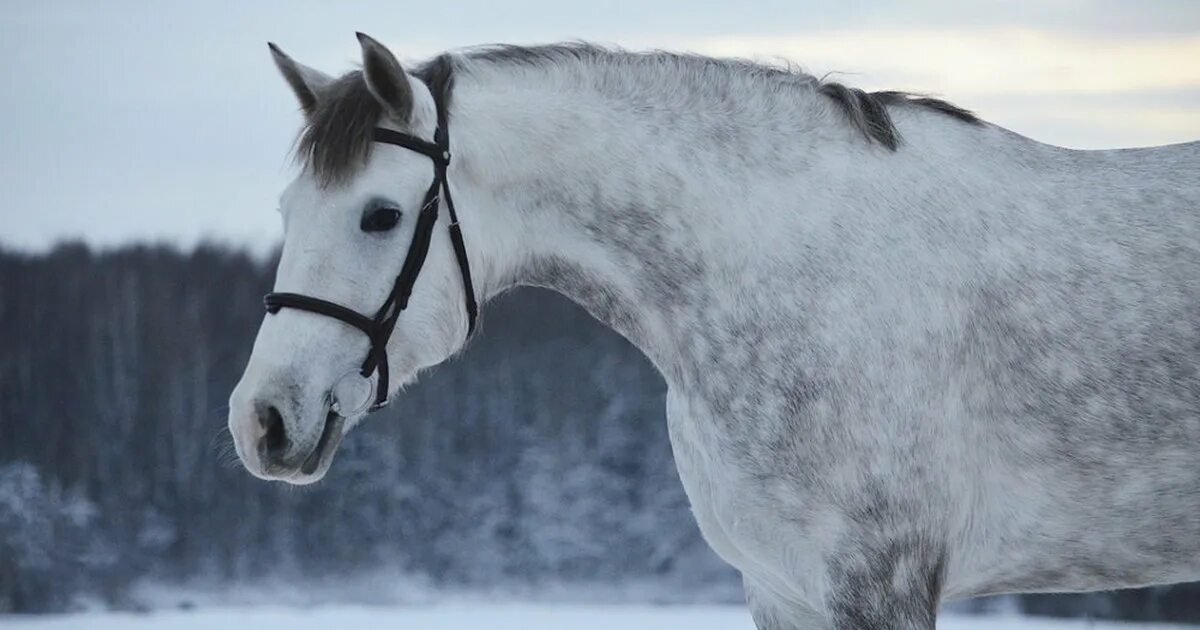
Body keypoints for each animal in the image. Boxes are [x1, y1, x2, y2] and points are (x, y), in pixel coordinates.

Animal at [226, 35, 1200, 628]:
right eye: (286, 210)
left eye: (380, 214)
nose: (260, 421)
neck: (796, 269)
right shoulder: (780, 588)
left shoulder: (879, 585)